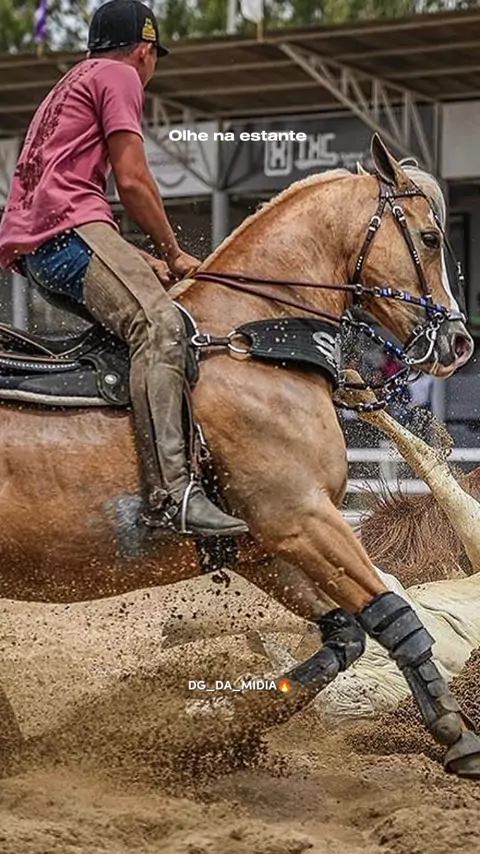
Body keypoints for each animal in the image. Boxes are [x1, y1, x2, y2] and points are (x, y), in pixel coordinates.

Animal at [0, 134, 479, 778]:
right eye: (429, 237)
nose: (458, 341)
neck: (251, 346)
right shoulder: (304, 518)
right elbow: (393, 617)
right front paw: (458, 736)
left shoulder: (262, 544)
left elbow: (344, 637)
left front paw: (213, 727)